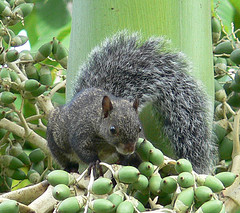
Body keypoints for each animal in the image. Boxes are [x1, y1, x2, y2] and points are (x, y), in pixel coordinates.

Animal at [46, 31, 216, 174]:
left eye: (139, 128)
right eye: (112, 130)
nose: (129, 149)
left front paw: (126, 160)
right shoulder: (82, 133)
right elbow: (83, 151)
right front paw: (94, 162)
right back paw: (70, 168)